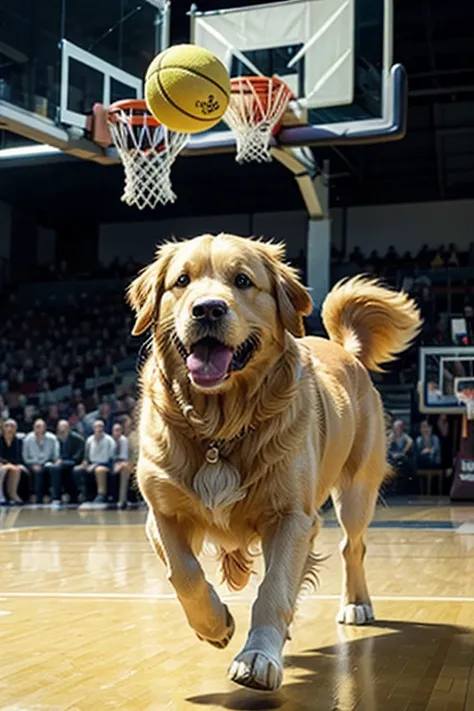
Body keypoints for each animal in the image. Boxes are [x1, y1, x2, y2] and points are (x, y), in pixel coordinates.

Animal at [128, 236, 420, 692]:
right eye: (182, 281)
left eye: (243, 280)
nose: (207, 309)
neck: (219, 426)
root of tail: (346, 351)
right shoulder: (163, 512)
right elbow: (185, 573)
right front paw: (214, 624)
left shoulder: (291, 517)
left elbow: (274, 589)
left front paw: (259, 656)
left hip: (356, 490)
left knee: (352, 545)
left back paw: (356, 603)